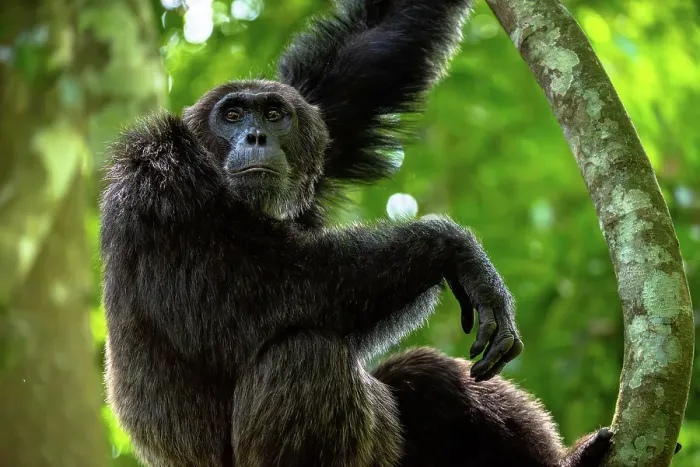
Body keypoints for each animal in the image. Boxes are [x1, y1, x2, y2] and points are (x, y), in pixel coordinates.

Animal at [100, 0, 613, 466]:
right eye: (231, 116)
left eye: (273, 114)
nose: (255, 136)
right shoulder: (164, 189)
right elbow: (250, 298)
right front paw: (457, 251)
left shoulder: (320, 114)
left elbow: (369, 50)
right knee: (307, 356)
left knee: (426, 373)